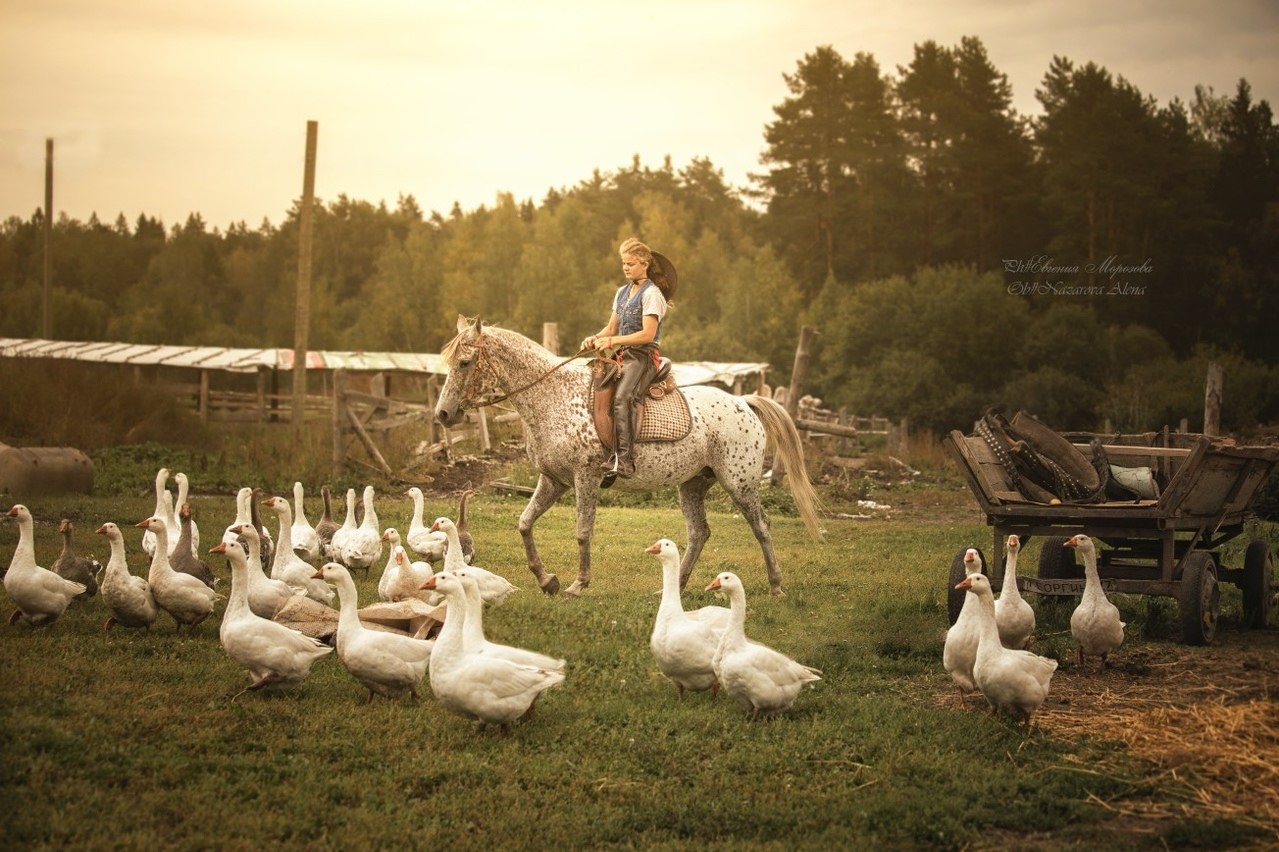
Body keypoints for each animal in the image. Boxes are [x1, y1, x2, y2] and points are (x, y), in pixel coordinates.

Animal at [434, 313, 823, 596]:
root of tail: (743, 402)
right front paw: (547, 580)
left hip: (739, 483)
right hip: (693, 484)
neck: (552, 397)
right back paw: (673, 588)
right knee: (699, 533)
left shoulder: (585, 477)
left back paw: (776, 586)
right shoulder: (554, 480)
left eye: (465, 362)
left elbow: (583, 531)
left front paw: (577, 585)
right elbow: (525, 523)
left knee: (761, 526)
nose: (443, 414)